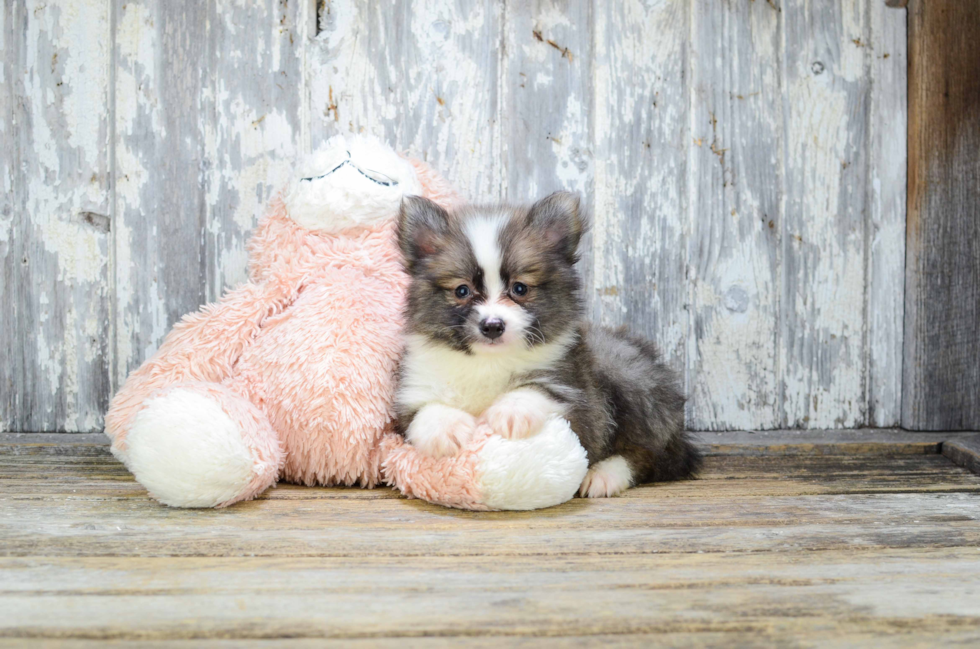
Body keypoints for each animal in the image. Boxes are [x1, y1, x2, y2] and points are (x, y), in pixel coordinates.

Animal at [394, 190, 700, 494]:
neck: (488, 362)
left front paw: (512, 410)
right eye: (461, 290)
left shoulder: (576, 396)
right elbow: (422, 411)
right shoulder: (413, 390)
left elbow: (539, 388)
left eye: (520, 288)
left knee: (650, 453)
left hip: (625, 370)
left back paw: (606, 474)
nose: (492, 326)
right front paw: (445, 427)